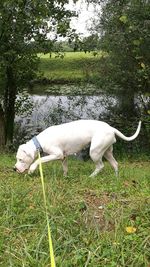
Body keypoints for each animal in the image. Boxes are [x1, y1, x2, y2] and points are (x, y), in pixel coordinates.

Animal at [13, 120, 141, 177]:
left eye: (20, 159)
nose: (14, 169)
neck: (39, 142)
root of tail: (111, 128)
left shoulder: (57, 154)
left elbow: (39, 160)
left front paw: (32, 169)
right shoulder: (63, 157)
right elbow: (65, 168)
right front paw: (65, 177)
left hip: (95, 152)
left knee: (100, 166)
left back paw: (91, 177)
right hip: (107, 152)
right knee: (115, 164)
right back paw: (116, 178)